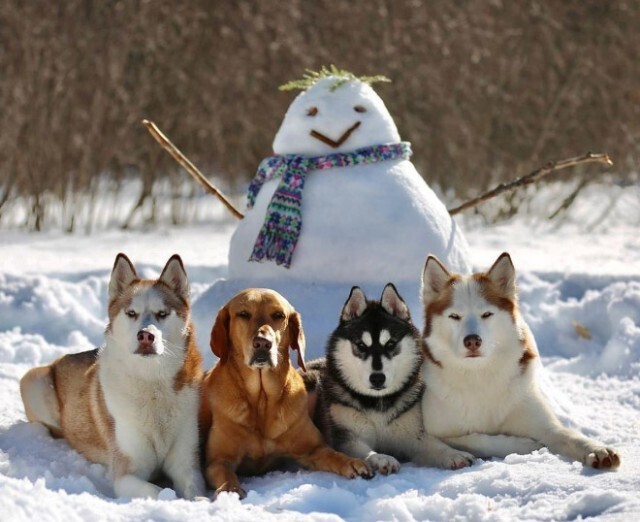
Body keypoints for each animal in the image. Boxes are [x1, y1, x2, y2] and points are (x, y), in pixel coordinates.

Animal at [20, 254, 205, 498]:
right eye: (131, 313)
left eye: (162, 314)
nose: (146, 336)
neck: (152, 382)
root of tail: (59, 360)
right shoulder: (126, 474)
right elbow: (157, 492)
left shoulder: (186, 464)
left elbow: (196, 491)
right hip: (34, 381)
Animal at [198, 286, 372, 498]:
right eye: (243, 314)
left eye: (278, 315)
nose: (263, 343)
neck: (261, 400)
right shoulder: (218, 461)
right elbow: (226, 473)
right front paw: (230, 489)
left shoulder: (313, 448)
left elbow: (333, 454)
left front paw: (351, 462)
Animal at [420, 252, 620, 468]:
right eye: (454, 316)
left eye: (487, 314)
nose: (472, 340)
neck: (480, 375)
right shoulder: (431, 431)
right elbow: (475, 438)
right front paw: (524, 445)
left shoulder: (543, 422)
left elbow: (568, 435)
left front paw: (596, 449)